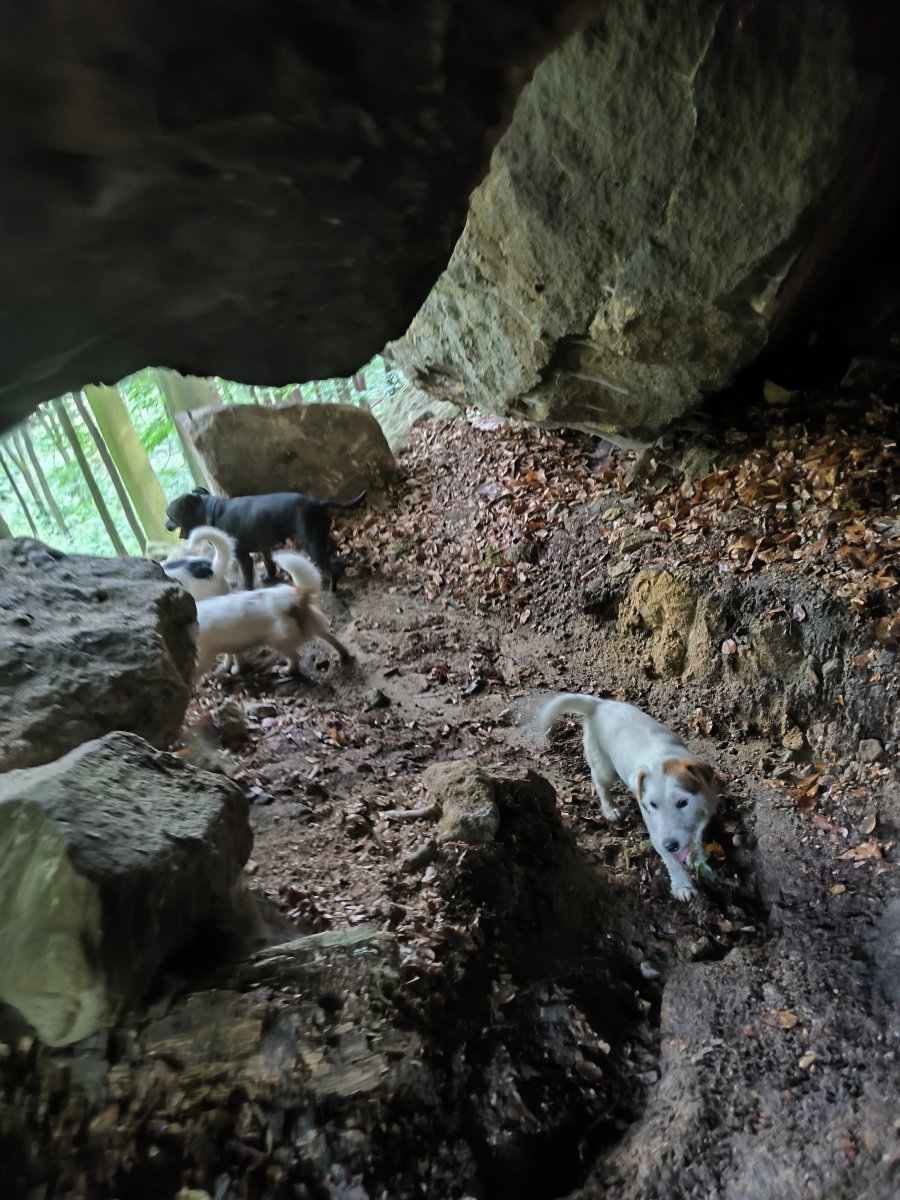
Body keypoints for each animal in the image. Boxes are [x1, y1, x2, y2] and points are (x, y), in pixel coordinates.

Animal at [165, 486, 366, 591]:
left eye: (170, 515)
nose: (166, 525)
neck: (210, 512)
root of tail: (317, 503)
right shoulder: (264, 546)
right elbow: (269, 564)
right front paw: (270, 578)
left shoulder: (243, 557)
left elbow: (247, 577)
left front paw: (247, 590)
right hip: (320, 537)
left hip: (312, 543)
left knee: (329, 567)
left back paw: (332, 587)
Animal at [193, 549, 352, 677]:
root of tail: (296, 596)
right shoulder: (230, 645)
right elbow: (232, 657)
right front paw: (232, 668)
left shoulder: (205, 654)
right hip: (313, 626)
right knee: (332, 639)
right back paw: (344, 655)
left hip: (276, 641)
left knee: (295, 657)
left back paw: (287, 671)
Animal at [536, 693, 719, 901]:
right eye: (652, 804)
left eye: (682, 802)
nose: (671, 845)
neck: (666, 758)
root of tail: (599, 704)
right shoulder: (657, 833)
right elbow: (672, 862)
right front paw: (682, 885)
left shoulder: (704, 814)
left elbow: (696, 841)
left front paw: (699, 862)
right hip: (604, 768)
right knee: (600, 784)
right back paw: (610, 809)